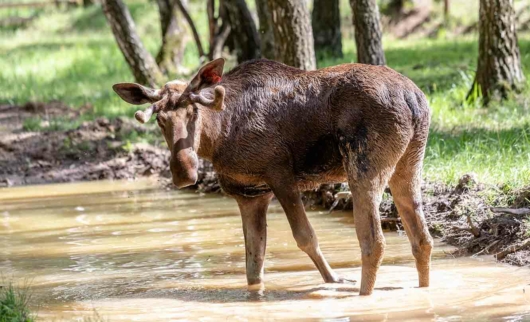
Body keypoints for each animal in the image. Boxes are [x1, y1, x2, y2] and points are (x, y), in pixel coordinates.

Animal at [113, 57, 432, 294]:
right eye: (159, 119)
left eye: (194, 112)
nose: (184, 172)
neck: (218, 137)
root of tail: (413, 99)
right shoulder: (250, 194)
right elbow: (254, 264)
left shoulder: (280, 176)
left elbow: (305, 237)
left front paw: (335, 280)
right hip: (409, 164)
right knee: (422, 239)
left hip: (363, 167)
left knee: (373, 242)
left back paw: (362, 294)